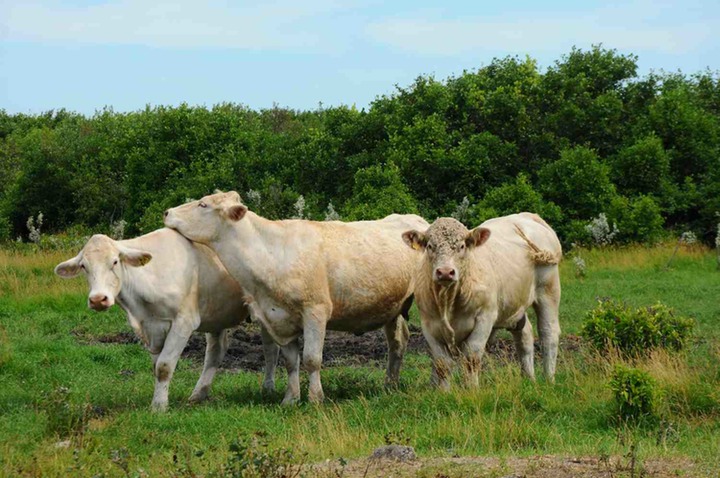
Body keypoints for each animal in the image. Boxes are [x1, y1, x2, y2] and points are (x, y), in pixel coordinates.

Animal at [52, 228, 278, 410]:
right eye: (84, 266)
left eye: (115, 261)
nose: (98, 299)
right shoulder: (148, 328)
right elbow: (156, 366)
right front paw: (159, 400)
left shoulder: (183, 322)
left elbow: (164, 366)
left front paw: (159, 407)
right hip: (217, 312)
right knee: (216, 351)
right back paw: (199, 394)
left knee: (270, 349)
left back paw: (268, 388)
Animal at [163, 190, 428, 404]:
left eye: (203, 204)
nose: (167, 212)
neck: (272, 253)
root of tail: (417, 220)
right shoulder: (278, 317)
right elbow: (291, 361)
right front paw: (290, 399)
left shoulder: (316, 310)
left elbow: (311, 358)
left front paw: (315, 398)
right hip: (393, 308)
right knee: (398, 342)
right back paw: (390, 384)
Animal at [400, 213, 564, 388]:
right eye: (430, 246)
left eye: (462, 246)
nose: (445, 272)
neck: (448, 300)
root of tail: (527, 215)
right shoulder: (428, 323)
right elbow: (442, 363)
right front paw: (444, 391)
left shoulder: (484, 317)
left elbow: (471, 358)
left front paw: (472, 389)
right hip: (515, 304)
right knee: (524, 335)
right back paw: (529, 378)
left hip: (549, 290)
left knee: (549, 333)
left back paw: (549, 379)